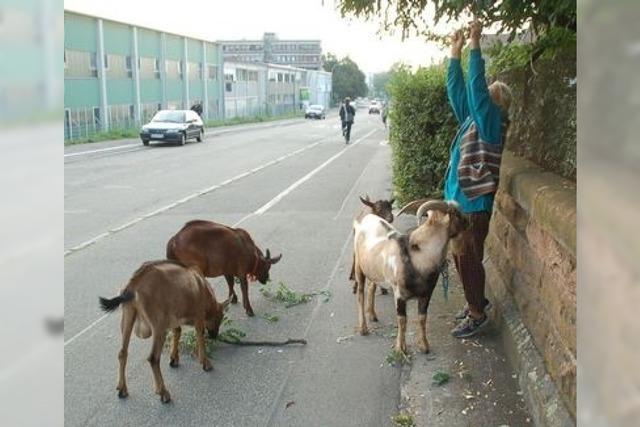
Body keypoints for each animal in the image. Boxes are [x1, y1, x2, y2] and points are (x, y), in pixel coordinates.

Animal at [97, 260, 230, 404]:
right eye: (220, 317)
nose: (214, 335)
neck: (201, 286)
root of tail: (133, 284)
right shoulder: (198, 315)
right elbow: (199, 335)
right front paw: (205, 363)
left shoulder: (174, 319)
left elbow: (177, 331)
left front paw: (174, 359)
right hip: (158, 326)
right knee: (153, 358)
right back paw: (163, 392)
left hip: (128, 315)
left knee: (122, 353)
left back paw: (122, 389)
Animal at [352, 201, 468, 354]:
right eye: (456, 213)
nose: (468, 221)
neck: (418, 257)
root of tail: (365, 219)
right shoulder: (400, 295)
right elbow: (402, 320)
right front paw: (400, 349)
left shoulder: (426, 294)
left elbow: (422, 318)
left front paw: (424, 346)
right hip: (359, 267)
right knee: (360, 294)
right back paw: (363, 328)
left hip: (373, 270)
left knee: (372, 287)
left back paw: (372, 315)